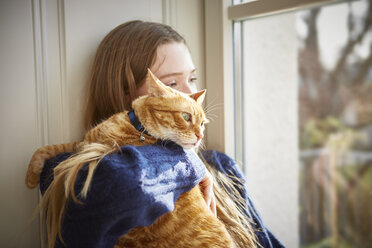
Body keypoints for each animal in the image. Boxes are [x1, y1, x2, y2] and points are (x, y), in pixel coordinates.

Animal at [24, 69, 237, 248]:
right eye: (186, 117)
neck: (136, 129)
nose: (200, 136)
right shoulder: (85, 144)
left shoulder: (94, 151)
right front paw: (31, 176)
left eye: (202, 124)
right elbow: (53, 148)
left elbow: (61, 162)